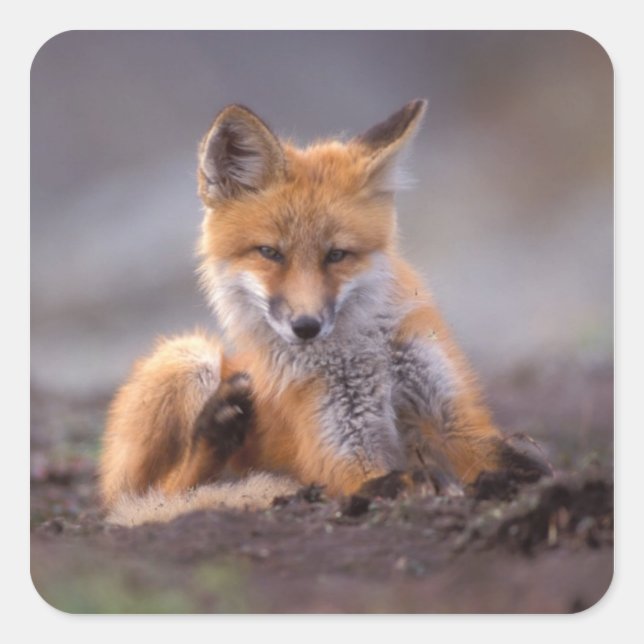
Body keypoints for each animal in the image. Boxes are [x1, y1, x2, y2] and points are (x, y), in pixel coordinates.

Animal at [100, 99, 550, 526]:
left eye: (336, 255)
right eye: (270, 253)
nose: (306, 326)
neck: (364, 355)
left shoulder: (454, 419)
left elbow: (519, 460)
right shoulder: (343, 453)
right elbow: (390, 480)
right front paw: (431, 484)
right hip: (187, 357)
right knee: (159, 492)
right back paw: (216, 432)